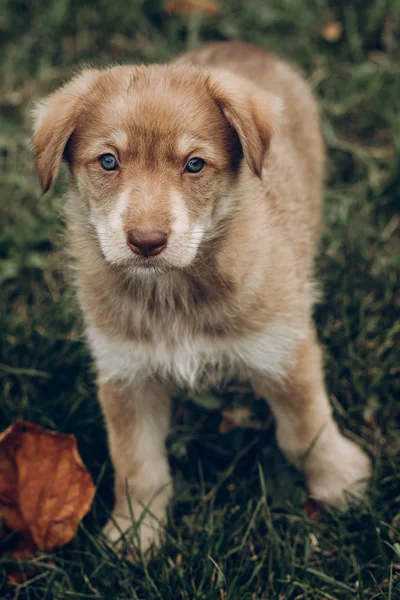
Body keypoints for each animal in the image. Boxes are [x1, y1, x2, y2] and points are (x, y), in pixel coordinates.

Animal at [32, 39, 372, 552]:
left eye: (194, 164)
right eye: (108, 161)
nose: (146, 241)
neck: (173, 291)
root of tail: (244, 45)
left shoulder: (284, 351)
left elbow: (307, 431)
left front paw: (339, 481)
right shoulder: (126, 374)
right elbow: (137, 464)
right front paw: (135, 533)